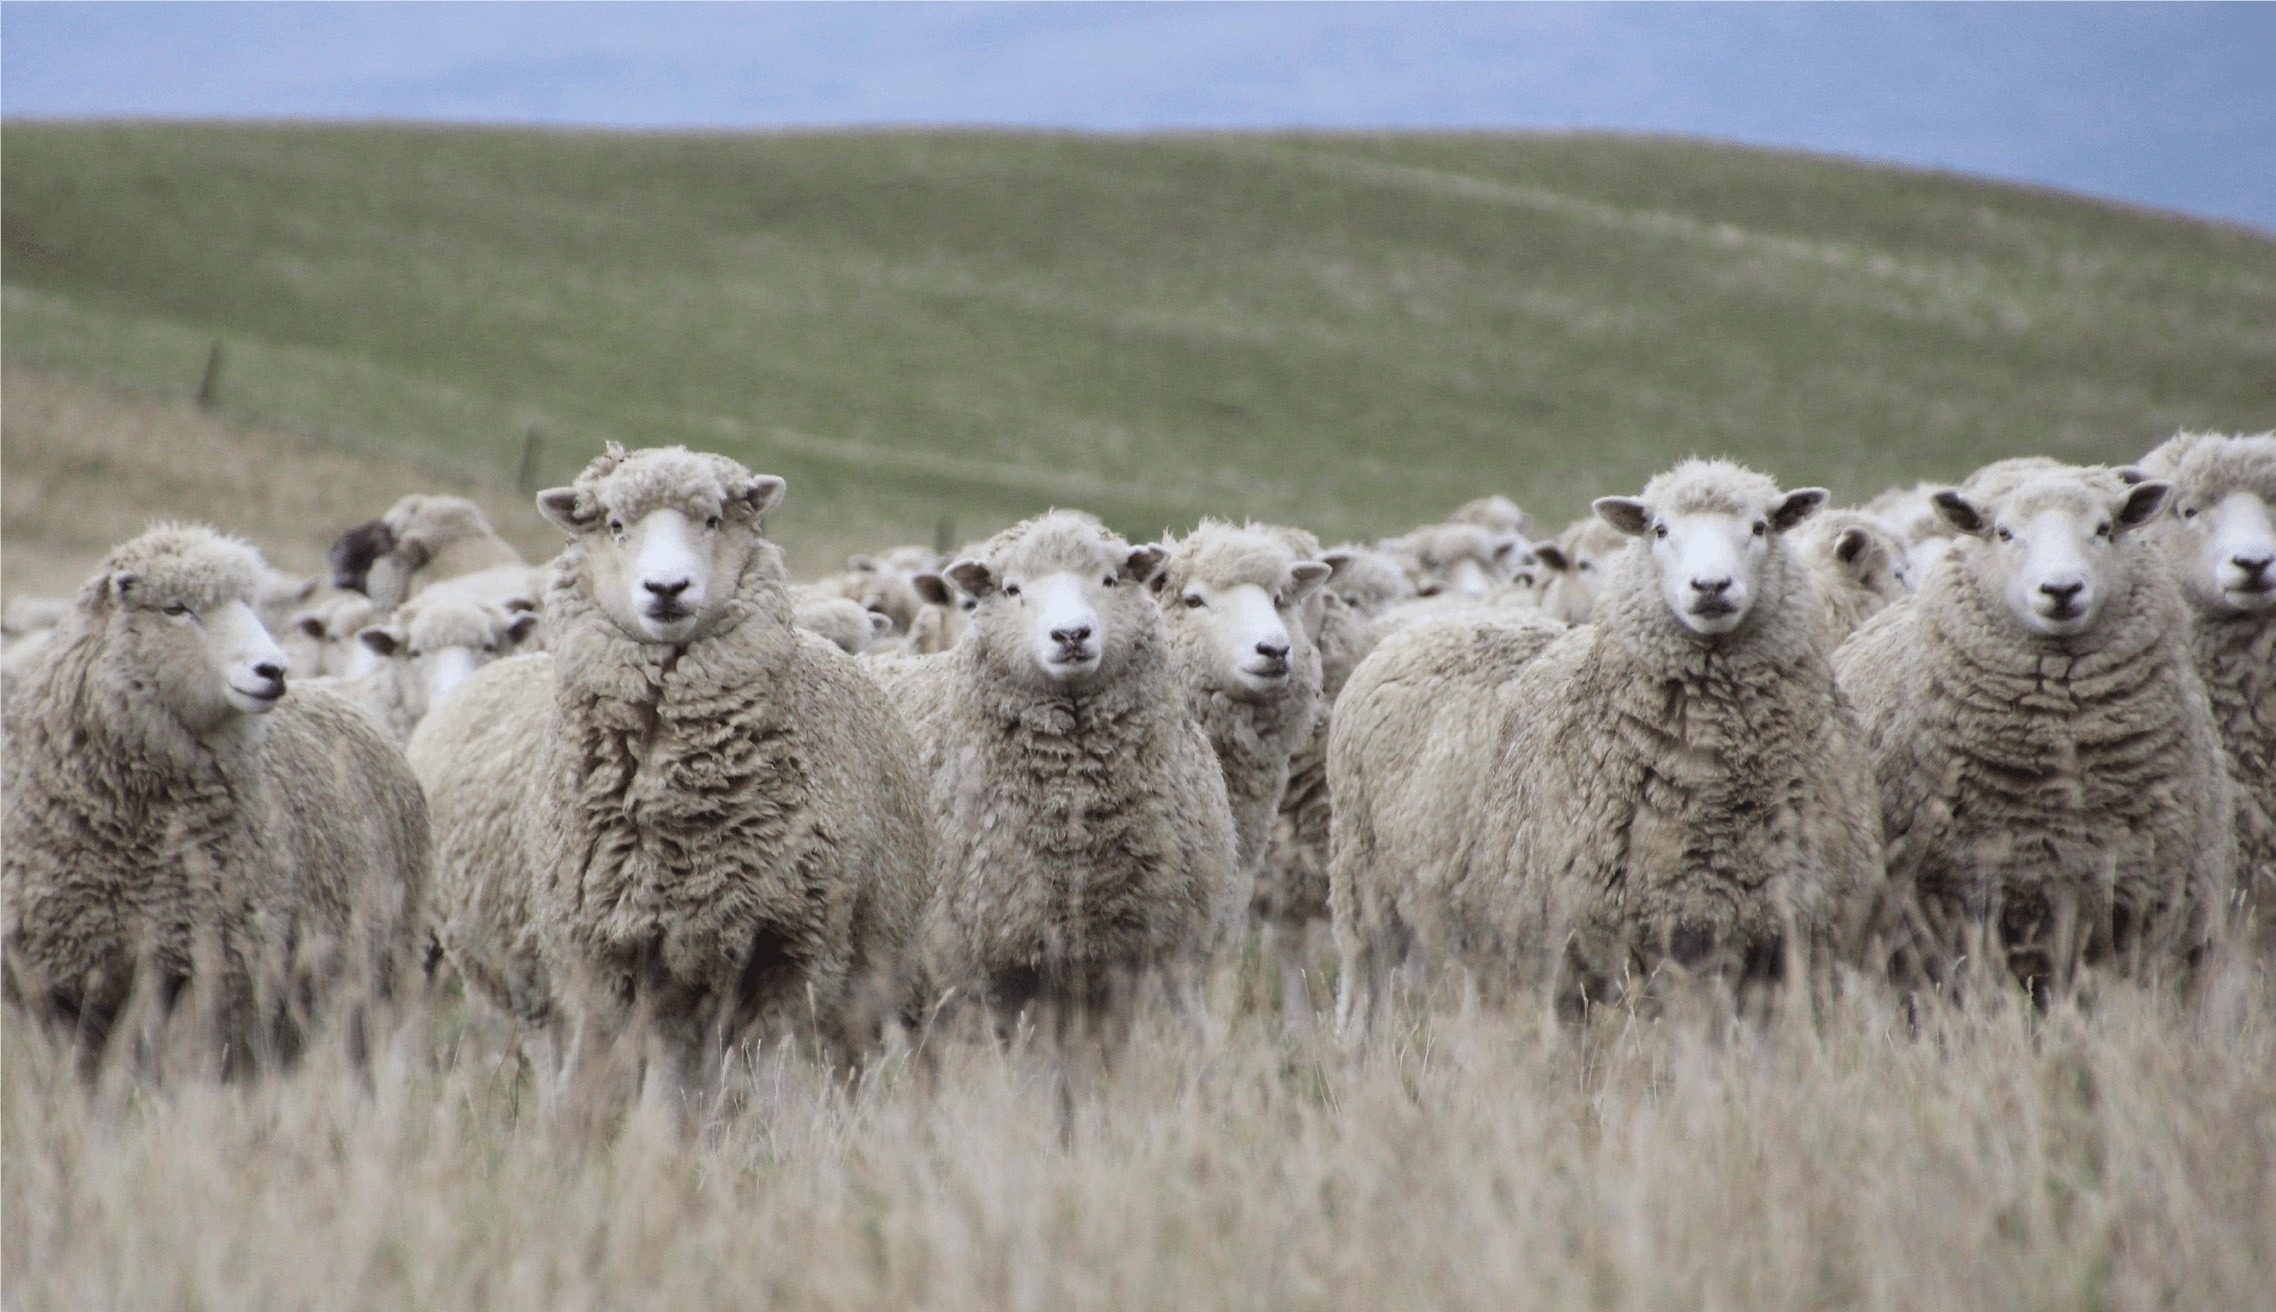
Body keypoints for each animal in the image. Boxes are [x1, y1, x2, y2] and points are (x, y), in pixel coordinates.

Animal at [3, 525, 429, 1071]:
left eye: (248, 604)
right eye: (175, 608)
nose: (274, 669)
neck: (133, 832)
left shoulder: (210, 975)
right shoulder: (64, 990)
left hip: (373, 979)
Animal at [407, 446, 930, 1102]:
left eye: (712, 520)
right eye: (615, 525)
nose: (666, 588)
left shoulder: (788, 946)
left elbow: (761, 1071)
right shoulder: (610, 950)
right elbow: (632, 1069)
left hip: (863, 966)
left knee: (841, 1055)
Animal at [1332, 460, 1881, 1030]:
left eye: (1760, 527)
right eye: (1659, 529)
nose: (1710, 586)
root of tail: (1440, 620)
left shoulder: (1782, 940)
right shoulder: (1597, 941)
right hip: (1364, 887)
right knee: (1363, 988)